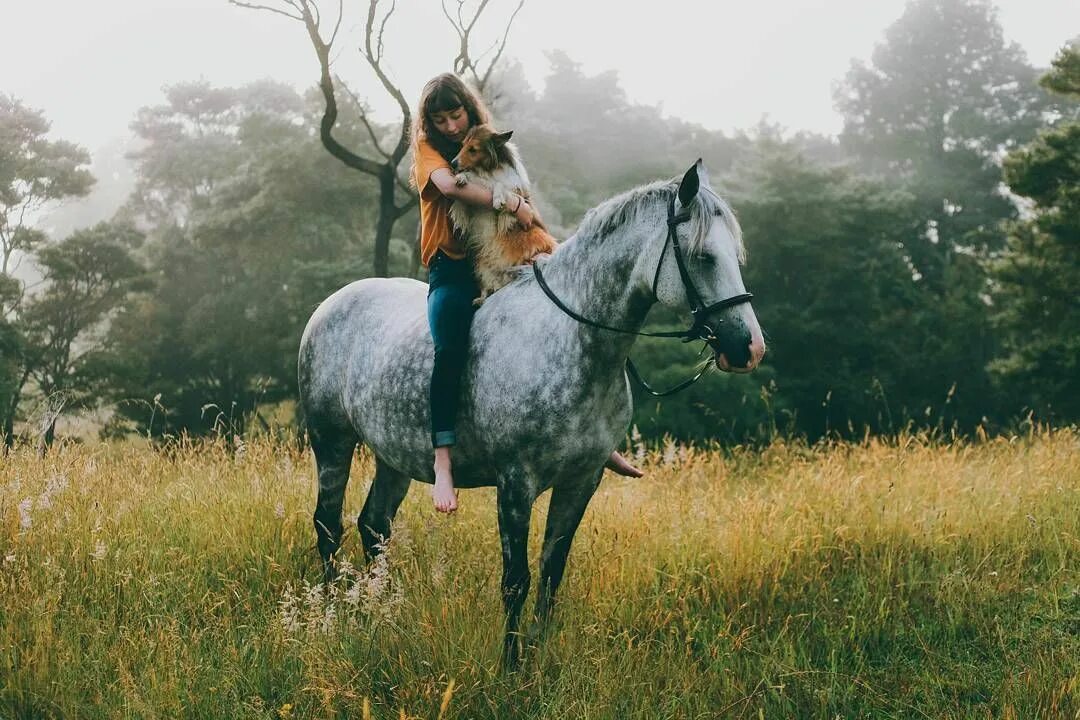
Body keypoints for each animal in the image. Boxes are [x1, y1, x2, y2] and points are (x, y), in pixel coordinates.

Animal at [300, 160, 764, 669]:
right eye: (703, 257)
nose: (749, 348)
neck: (570, 338)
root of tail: (329, 306)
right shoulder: (515, 484)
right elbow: (515, 581)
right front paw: (511, 666)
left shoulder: (581, 481)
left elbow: (550, 571)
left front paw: (540, 657)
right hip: (332, 443)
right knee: (328, 526)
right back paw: (335, 616)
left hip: (393, 456)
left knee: (374, 526)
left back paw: (380, 611)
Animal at [449, 124, 561, 304]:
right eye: (463, 145)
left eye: (473, 149)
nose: (452, 164)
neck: (488, 170)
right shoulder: (467, 206)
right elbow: (471, 182)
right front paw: (462, 177)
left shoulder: (516, 193)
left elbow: (500, 185)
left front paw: (498, 199)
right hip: (483, 265)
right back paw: (482, 297)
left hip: (536, 236)